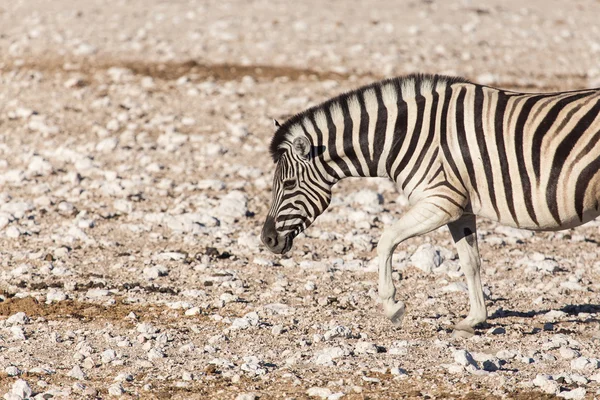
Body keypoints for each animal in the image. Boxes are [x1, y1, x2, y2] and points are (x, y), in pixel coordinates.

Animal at [262, 73, 600, 336]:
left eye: (288, 185)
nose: (267, 240)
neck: (403, 136)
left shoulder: (440, 200)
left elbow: (385, 240)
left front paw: (393, 307)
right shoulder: (460, 208)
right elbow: (470, 262)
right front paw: (474, 319)